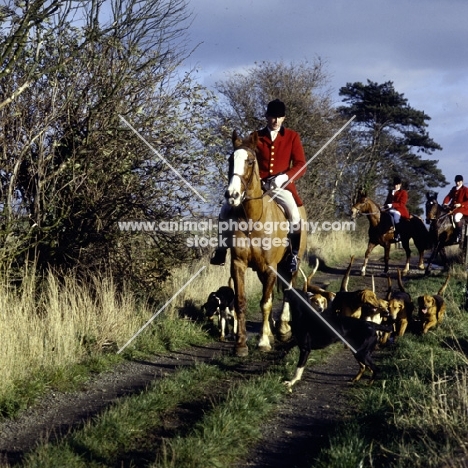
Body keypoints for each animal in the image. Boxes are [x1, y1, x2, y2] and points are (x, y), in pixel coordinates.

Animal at [224, 130, 308, 356]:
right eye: (230, 160)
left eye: (250, 161)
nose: (232, 195)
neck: (253, 218)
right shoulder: (239, 264)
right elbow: (241, 302)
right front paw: (241, 344)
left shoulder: (271, 267)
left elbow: (266, 303)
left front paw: (262, 341)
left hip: (291, 263)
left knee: (287, 291)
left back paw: (283, 327)